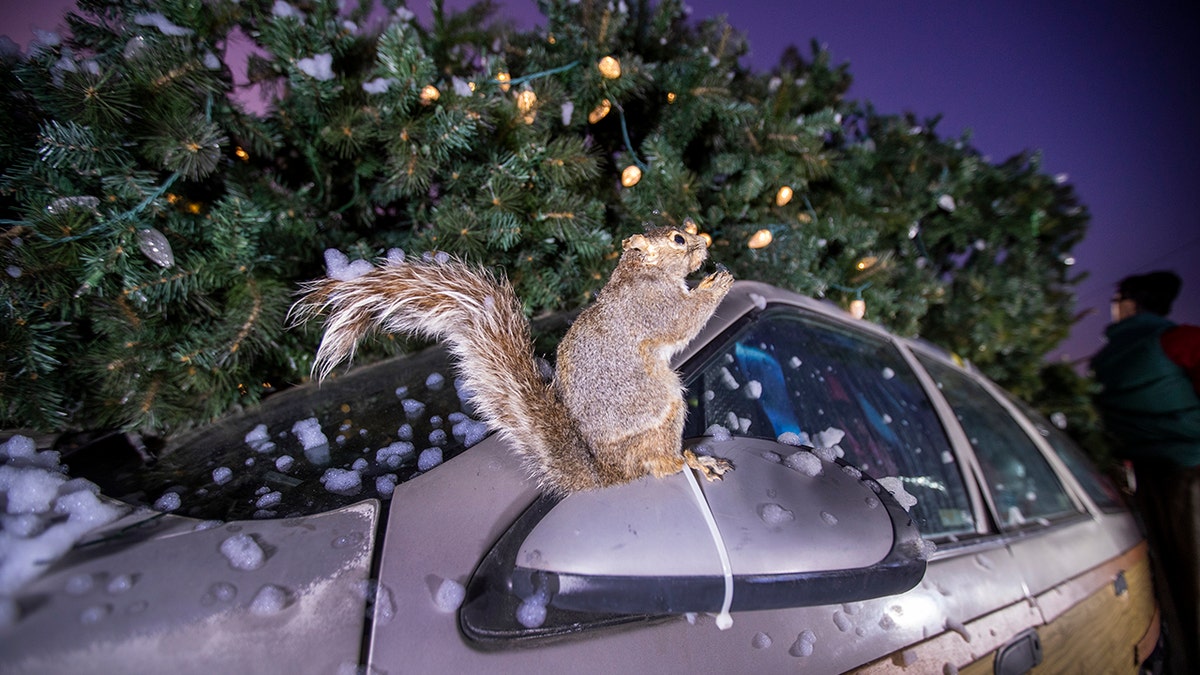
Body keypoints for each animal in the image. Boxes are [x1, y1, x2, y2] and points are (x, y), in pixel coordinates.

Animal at [290, 224, 735, 495]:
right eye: (678, 239)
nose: (706, 244)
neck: (641, 274)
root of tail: (610, 474)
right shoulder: (650, 308)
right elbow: (681, 320)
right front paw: (716, 284)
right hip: (662, 414)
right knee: (660, 465)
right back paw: (690, 460)